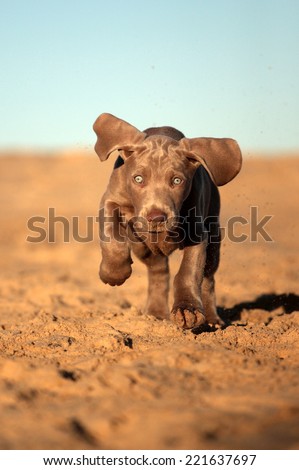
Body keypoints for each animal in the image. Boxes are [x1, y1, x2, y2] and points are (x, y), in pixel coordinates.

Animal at [92, 113, 243, 330]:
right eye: (138, 179)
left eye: (177, 181)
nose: (157, 217)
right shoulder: (111, 200)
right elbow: (112, 239)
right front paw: (114, 273)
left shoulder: (197, 232)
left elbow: (188, 272)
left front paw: (187, 310)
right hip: (144, 247)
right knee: (159, 272)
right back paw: (155, 313)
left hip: (214, 237)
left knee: (207, 279)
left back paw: (212, 319)